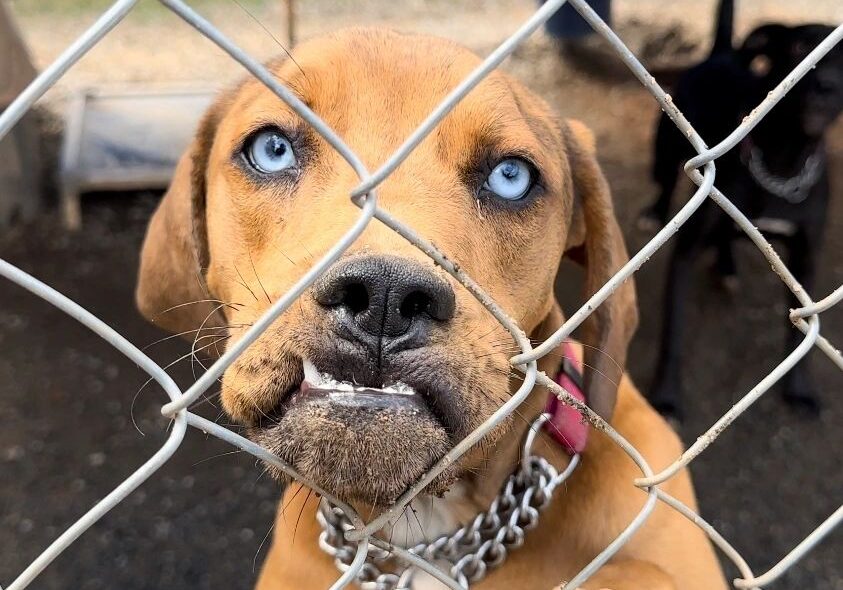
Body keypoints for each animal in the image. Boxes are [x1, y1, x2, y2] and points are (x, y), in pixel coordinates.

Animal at [640, 0, 843, 420]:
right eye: (799, 47)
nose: (827, 86)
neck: (783, 163)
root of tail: (721, 55)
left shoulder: (805, 261)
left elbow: (798, 333)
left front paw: (799, 391)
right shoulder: (684, 254)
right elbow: (673, 334)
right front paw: (666, 397)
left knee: (726, 237)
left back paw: (727, 266)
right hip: (665, 150)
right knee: (665, 183)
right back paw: (656, 212)